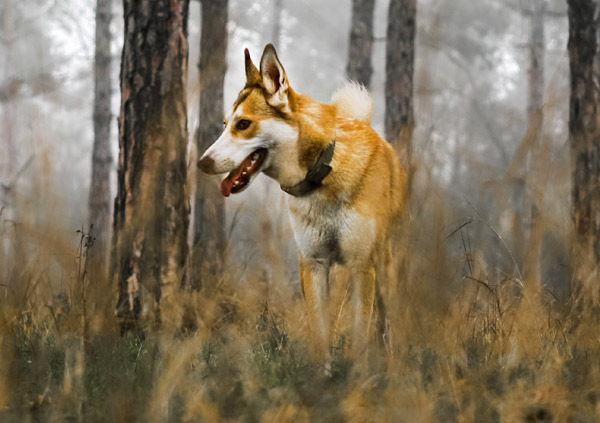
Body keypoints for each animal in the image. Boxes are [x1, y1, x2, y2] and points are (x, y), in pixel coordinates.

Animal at [197, 43, 408, 362]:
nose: (202, 162)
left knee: (385, 322)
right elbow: (320, 337)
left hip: (383, 268)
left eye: (243, 124)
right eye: (224, 125)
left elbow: (360, 337)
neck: (323, 173)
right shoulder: (313, 265)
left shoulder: (361, 266)